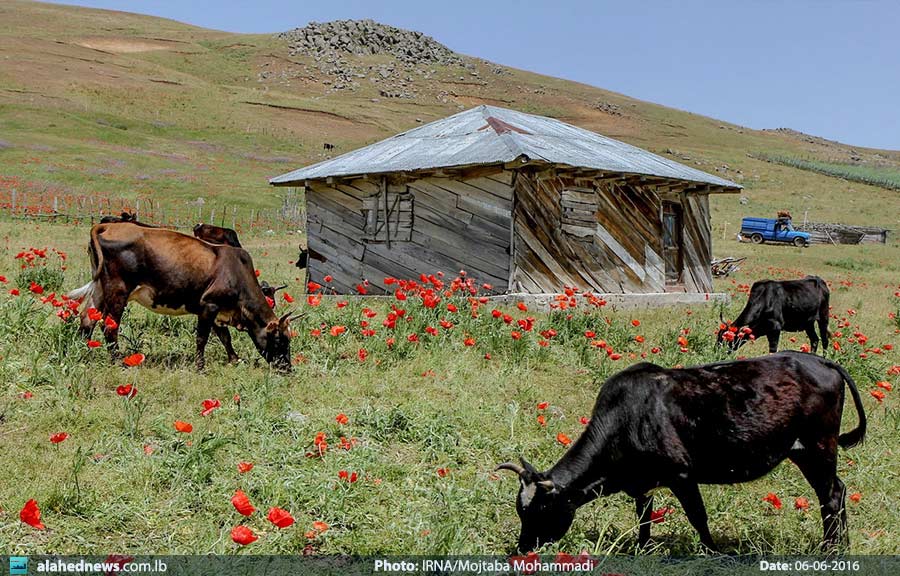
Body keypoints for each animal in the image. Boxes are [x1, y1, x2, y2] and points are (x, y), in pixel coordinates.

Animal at [68, 221, 295, 371]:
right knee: (109, 326)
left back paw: (81, 353)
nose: (287, 367)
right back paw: (117, 360)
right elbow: (202, 338)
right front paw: (200, 367)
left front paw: (234, 359)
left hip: (99, 288)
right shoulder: (209, 305)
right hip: (118, 291)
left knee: (87, 319)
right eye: (279, 339)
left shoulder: (218, 312)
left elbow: (225, 337)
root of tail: (107, 226)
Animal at [497, 352, 866, 553]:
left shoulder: (682, 474)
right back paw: (842, 545)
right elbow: (644, 518)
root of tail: (821, 360)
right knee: (837, 491)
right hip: (805, 452)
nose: (523, 548)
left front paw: (713, 551)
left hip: (819, 446)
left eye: (541, 510)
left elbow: (697, 516)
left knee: (831, 495)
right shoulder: (643, 484)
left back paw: (831, 548)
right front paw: (642, 548)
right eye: (520, 510)